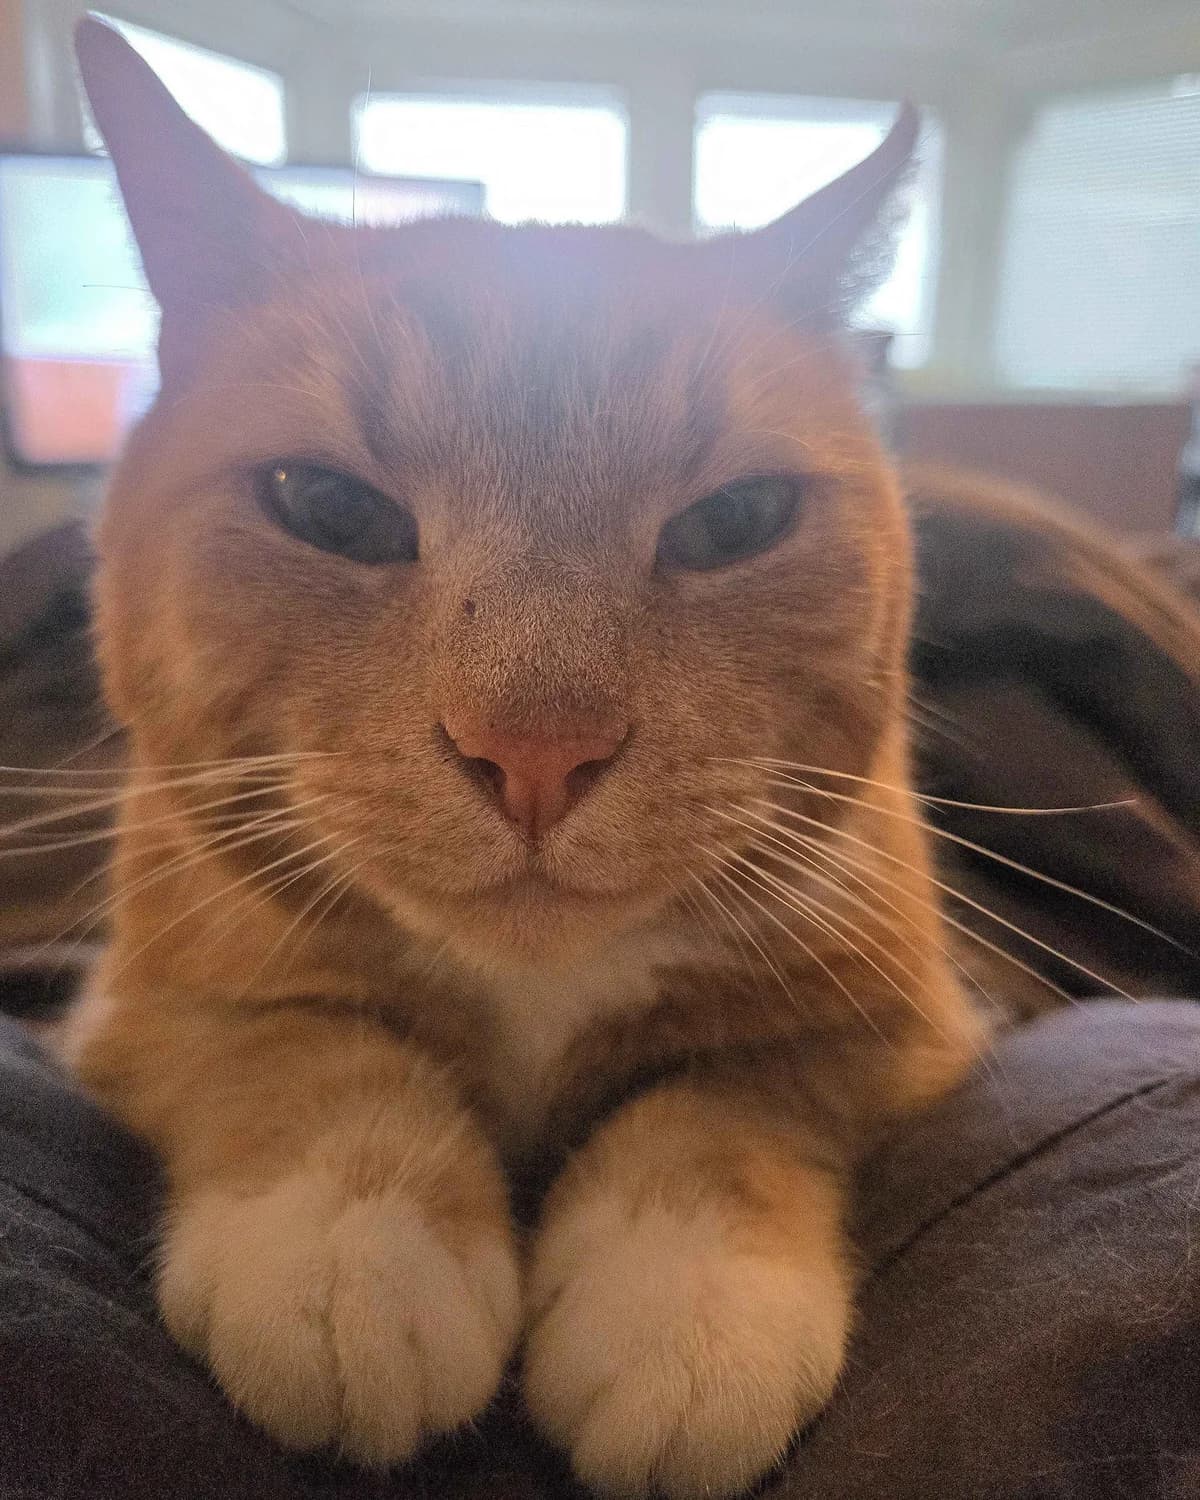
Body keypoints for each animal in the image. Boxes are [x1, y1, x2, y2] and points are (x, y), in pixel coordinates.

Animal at [63, 18, 984, 1498]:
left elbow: (731, 1100)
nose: (538, 751)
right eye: (327, 508)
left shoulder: (898, 1023)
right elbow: (295, 1043)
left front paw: (684, 1300)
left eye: (736, 520)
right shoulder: (146, 992)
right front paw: (355, 1245)